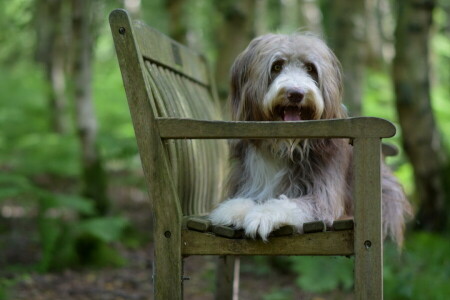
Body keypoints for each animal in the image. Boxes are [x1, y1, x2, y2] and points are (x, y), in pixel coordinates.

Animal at [207, 32, 412, 246]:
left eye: (310, 68)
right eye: (276, 66)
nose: (296, 93)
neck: (285, 145)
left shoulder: (324, 195)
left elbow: (292, 203)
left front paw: (262, 215)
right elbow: (247, 198)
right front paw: (234, 209)